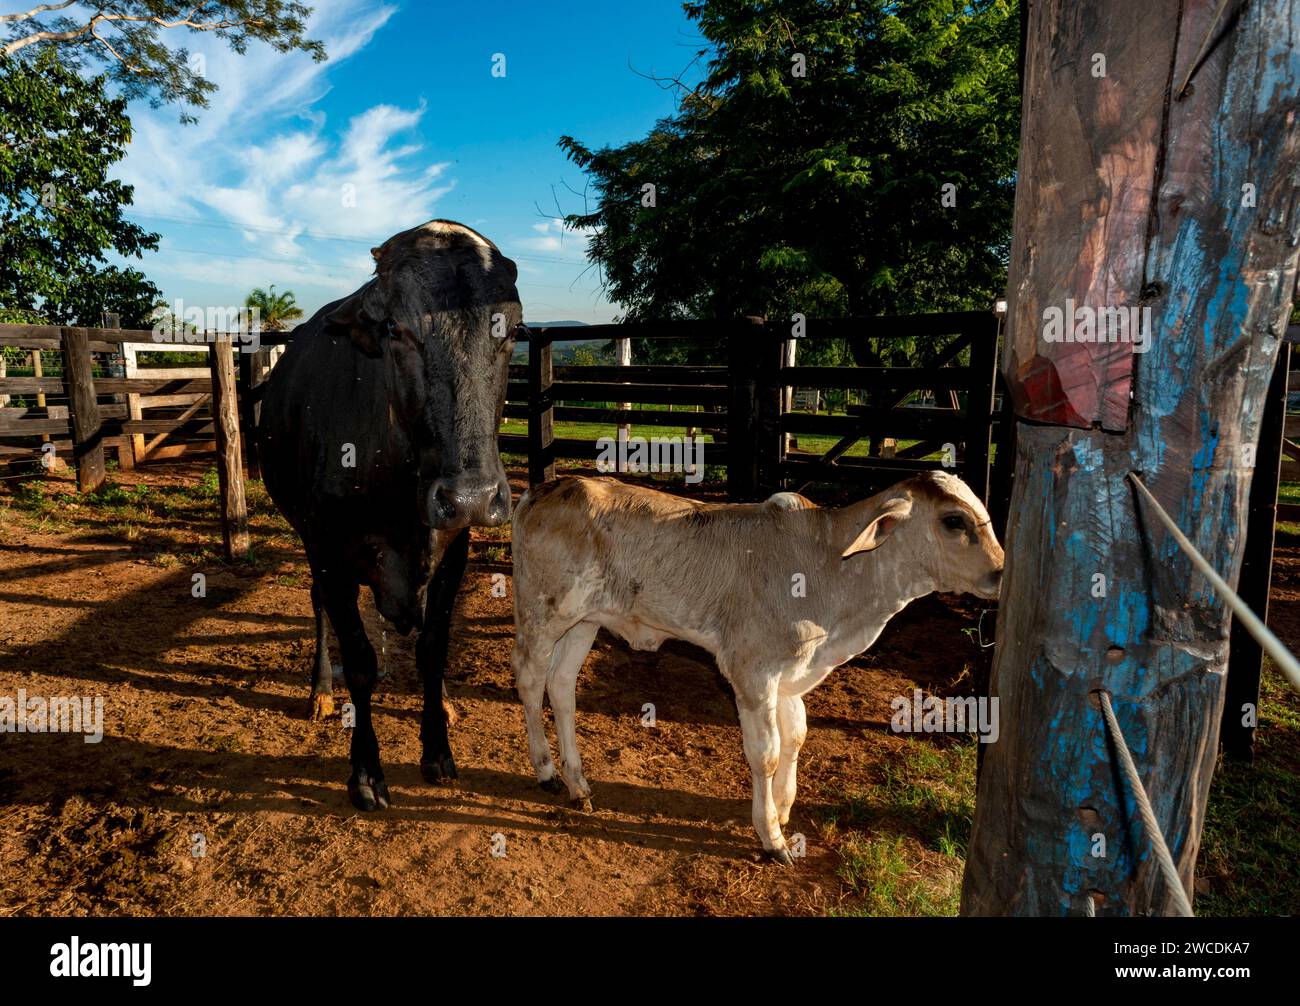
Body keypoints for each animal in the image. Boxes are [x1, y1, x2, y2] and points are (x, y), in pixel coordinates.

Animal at [258, 220, 520, 811]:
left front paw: (438, 748)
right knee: (319, 607)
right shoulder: (328, 548)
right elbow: (359, 659)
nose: (471, 496)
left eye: (512, 328)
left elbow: (433, 646)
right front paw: (366, 772)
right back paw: (319, 692)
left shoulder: (453, 550)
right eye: (394, 328)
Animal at [509, 472, 1004, 862]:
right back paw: (547, 771)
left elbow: (796, 735)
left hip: (584, 621)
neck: (831, 566)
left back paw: (578, 783)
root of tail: (545, 489)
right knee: (531, 680)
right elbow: (765, 753)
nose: (1002, 572)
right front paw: (771, 837)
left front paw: (782, 810)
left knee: (562, 686)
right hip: (543, 611)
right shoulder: (752, 671)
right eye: (954, 520)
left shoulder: (790, 677)